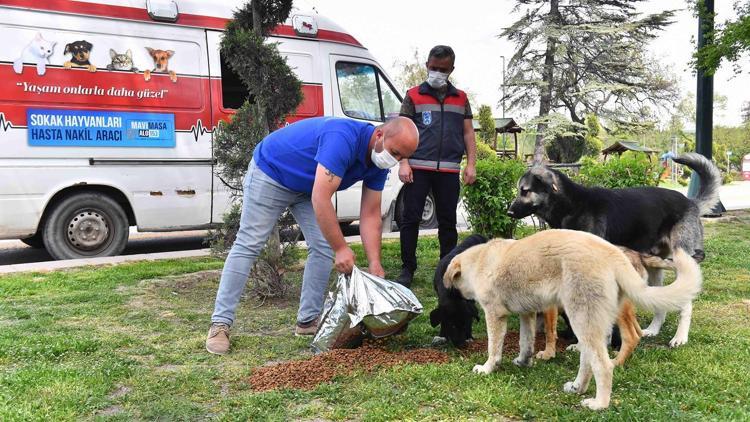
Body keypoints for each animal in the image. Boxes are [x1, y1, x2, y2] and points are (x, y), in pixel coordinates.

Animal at [444, 229, 704, 410]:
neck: (480, 259)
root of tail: (614, 253)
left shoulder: (495, 315)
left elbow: (494, 348)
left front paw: (487, 368)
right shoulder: (528, 314)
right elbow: (525, 342)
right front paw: (523, 361)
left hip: (581, 318)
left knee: (602, 364)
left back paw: (599, 403)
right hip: (589, 321)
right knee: (590, 359)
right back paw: (578, 387)